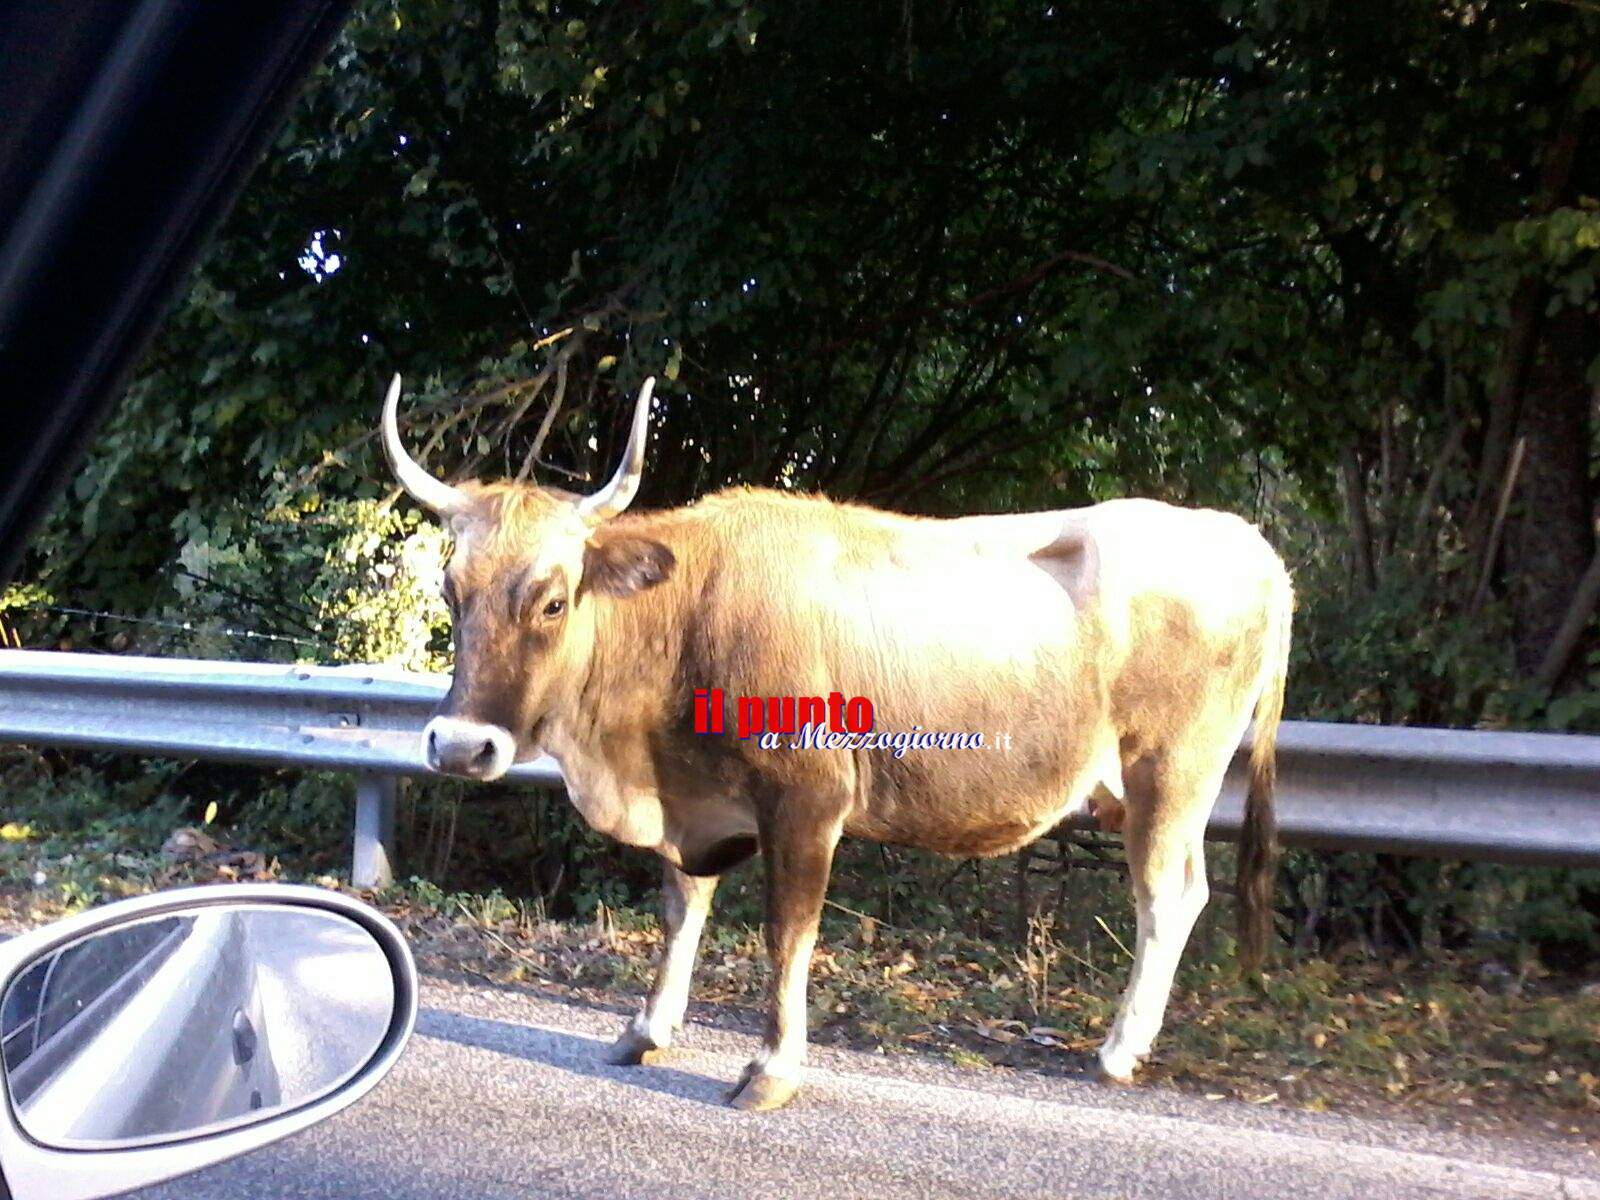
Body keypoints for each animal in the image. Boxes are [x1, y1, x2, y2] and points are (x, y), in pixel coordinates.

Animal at [379, 373, 1292, 1111]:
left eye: (553, 599)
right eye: (450, 591)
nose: (460, 747)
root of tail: (1246, 543)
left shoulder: (808, 800)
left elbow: (789, 932)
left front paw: (772, 1069)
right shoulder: (691, 801)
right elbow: (682, 907)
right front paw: (646, 1029)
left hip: (1172, 773)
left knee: (1166, 896)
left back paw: (1119, 1050)